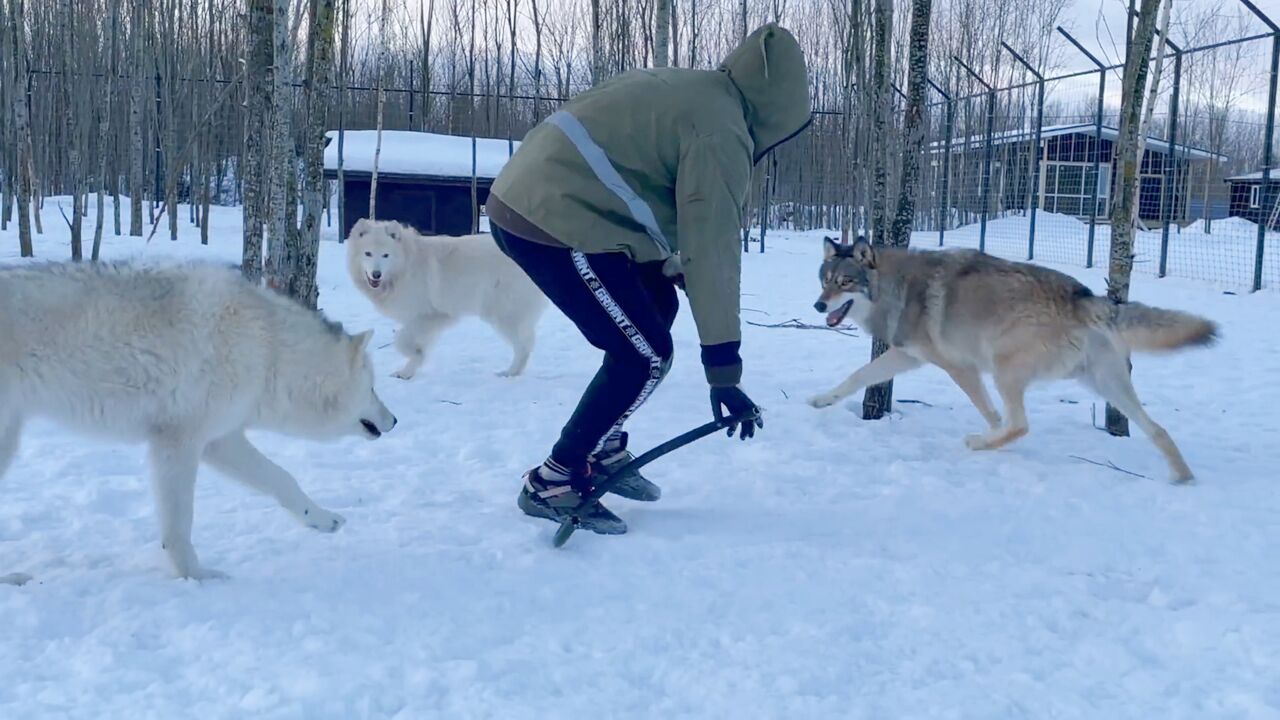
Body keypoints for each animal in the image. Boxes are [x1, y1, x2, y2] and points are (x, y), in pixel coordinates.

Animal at [0, 257, 396, 576]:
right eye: (373, 388)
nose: (394, 421)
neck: (269, 351)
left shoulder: (219, 441)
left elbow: (283, 479)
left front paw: (323, 519)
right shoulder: (179, 443)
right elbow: (179, 525)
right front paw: (197, 577)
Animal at [348, 215, 547, 379]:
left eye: (385, 255)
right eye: (368, 253)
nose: (376, 275)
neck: (405, 267)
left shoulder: (433, 315)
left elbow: (402, 340)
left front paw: (413, 360)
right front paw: (409, 369)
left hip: (503, 314)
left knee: (524, 345)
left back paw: (511, 372)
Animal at [808, 237, 1218, 481]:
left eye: (844, 283)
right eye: (824, 281)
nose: (817, 306)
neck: (898, 288)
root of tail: (1085, 296)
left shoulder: (960, 366)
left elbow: (992, 414)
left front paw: (990, 436)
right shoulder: (906, 356)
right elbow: (857, 376)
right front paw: (822, 399)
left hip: (1004, 369)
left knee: (1020, 424)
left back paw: (979, 443)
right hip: (1105, 384)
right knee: (1158, 429)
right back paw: (1183, 479)